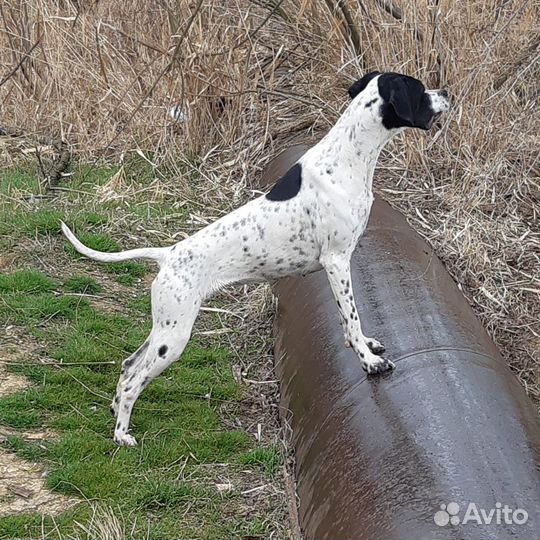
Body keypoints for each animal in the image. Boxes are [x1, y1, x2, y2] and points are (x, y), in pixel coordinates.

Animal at [61, 70, 450, 448]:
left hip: (164, 328)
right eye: (419, 89)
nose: (445, 91)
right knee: (133, 380)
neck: (347, 157)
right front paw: (369, 361)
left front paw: (365, 345)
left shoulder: (339, 265)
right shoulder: (337, 261)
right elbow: (351, 318)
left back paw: (116, 412)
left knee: (128, 365)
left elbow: (349, 321)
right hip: (174, 337)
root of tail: (167, 255)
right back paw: (121, 434)